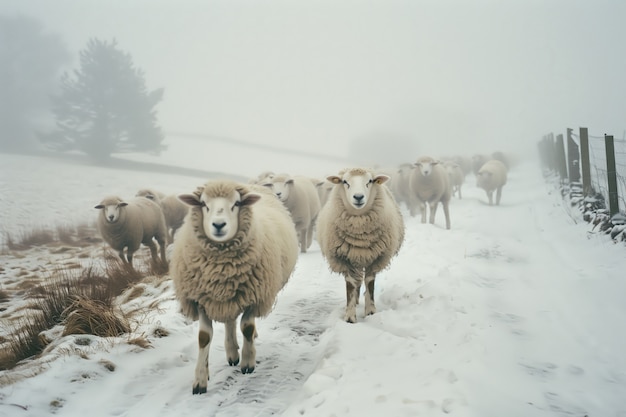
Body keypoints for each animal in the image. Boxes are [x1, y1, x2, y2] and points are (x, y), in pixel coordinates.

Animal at [169, 180, 298, 394]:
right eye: (203, 204)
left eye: (236, 203)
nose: (219, 225)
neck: (222, 270)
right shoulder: (201, 298)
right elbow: (204, 337)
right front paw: (200, 380)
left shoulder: (255, 295)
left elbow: (246, 327)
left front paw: (248, 362)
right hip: (228, 297)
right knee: (230, 321)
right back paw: (231, 352)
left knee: (241, 323)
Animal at [316, 167, 404, 324]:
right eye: (345, 181)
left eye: (370, 181)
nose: (358, 197)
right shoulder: (345, 258)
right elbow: (351, 285)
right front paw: (350, 316)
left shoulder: (376, 257)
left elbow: (369, 282)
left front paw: (370, 312)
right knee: (357, 281)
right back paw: (356, 302)